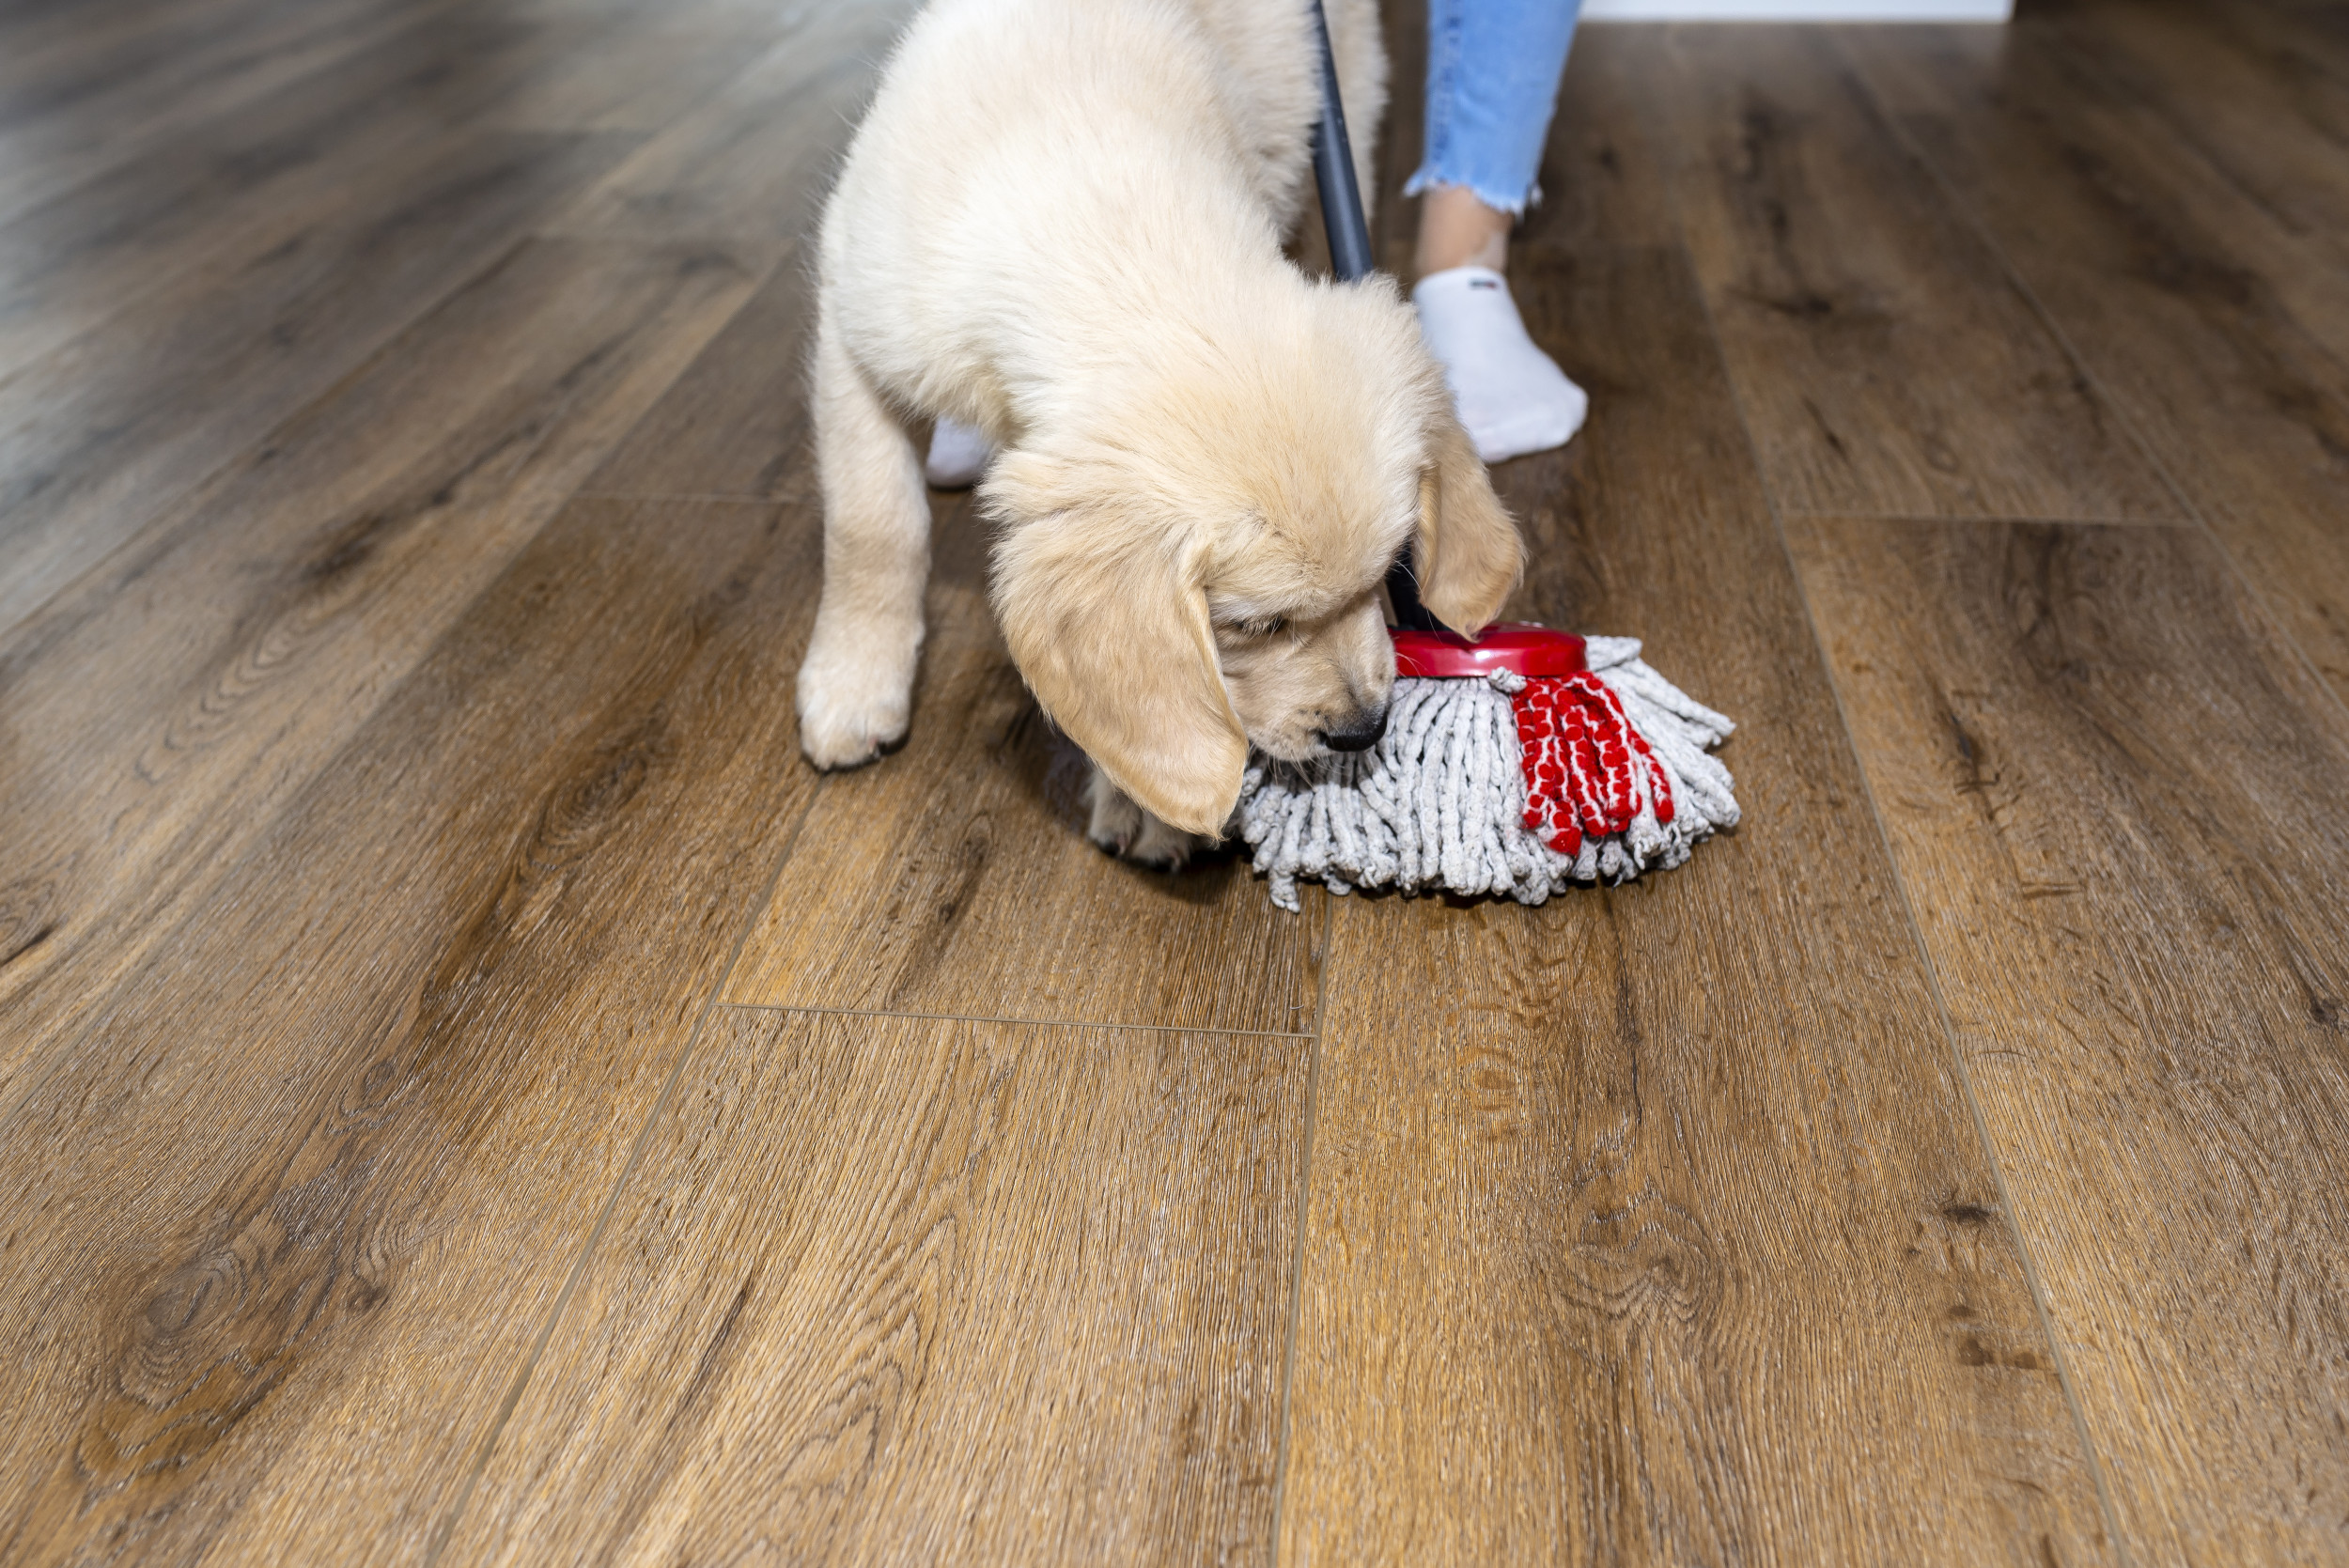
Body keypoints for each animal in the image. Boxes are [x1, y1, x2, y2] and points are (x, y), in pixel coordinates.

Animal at [789, 0, 1522, 863]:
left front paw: (1148, 807)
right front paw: (854, 681)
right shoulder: (854, 325)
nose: (1362, 731)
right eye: (1252, 626)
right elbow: (873, 526)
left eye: (1386, 575)